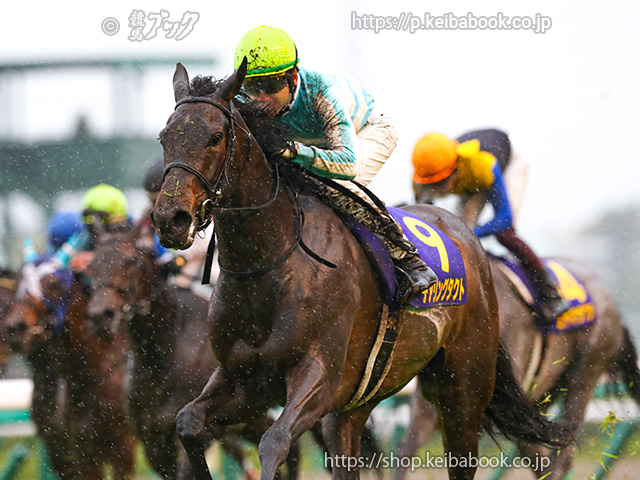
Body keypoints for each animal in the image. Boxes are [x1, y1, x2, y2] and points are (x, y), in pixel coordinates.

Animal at [84, 223, 300, 479]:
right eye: (92, 265)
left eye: (130, 261)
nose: (100, 315)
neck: (162, 355)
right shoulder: (153, 443)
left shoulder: (204, 431)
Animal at [150, 61, 570, 480]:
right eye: (164, 137)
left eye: (216, 137)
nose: (171, 218)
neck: (270, 264)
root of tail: (468, 238)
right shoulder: (245, 383)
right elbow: (188, 422)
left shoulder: (319, 378)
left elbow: (275, 442)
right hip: (359, 402)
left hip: (463, 389)